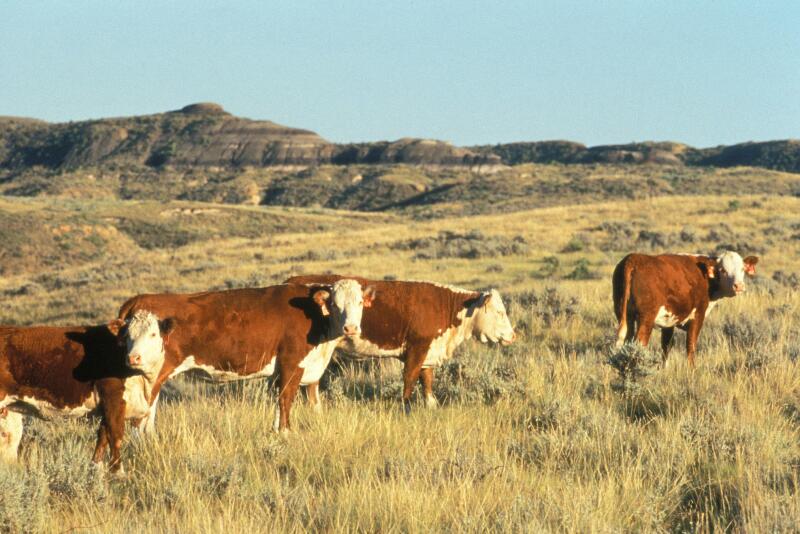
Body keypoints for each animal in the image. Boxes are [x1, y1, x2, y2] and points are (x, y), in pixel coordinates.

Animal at [0, 311, 174, 471]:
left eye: (153, 334)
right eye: (127, 336)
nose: (133, 358)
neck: (144, 383)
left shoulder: (107, 405)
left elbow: (102, 436)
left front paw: (96, 468)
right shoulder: (113, 398)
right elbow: (115, 435)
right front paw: (118, 471)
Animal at [116, 280, 375, 432]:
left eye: (360, 302)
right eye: (335, 304)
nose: (351, 328)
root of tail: (139, 299)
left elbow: (277, 403)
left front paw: (275, 431)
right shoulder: (292, 363)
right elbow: (286, 400)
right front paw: (286, 433)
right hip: (149, 372)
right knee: (141, 415)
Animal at [286, 275, 516, 413]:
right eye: (499, 312)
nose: (513, 336)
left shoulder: (428, 352)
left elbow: (427, 378)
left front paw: (431, 404)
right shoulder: (417, 347)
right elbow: (410, 378)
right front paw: (406, 407)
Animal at [613, 250, 759, 366]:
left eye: (742, 269)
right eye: (723, 270)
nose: (738, 286)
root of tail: (633, 258)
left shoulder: (669, 321)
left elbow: (666, 345)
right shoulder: (698, 315)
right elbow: (691, 345)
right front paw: (692, 369)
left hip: (624, 315)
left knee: (626, 341)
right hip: (646, 318)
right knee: (639, 343)